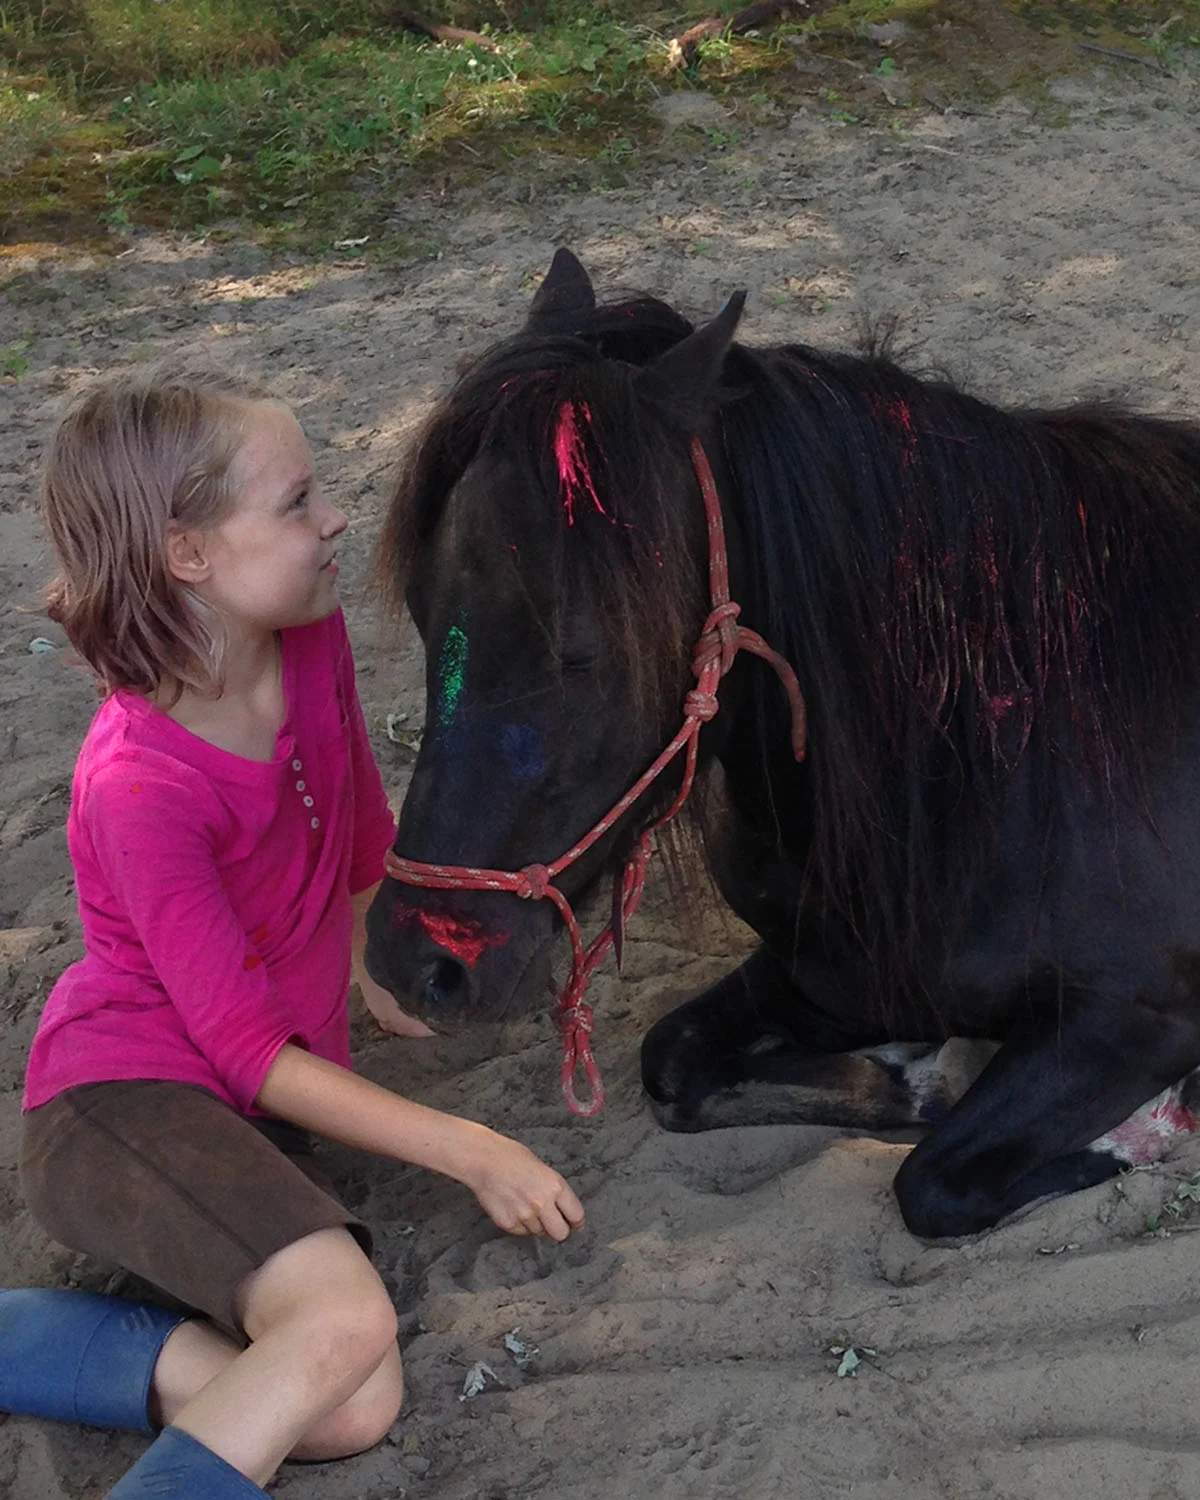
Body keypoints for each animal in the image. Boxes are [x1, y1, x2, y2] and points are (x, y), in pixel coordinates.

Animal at [364, 247, 1200, 1239]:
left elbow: (935, 1182)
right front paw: (913, 1076)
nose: (415, 964)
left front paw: (1141, 1134)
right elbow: (673, 1064)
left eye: (582, 647)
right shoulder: (822, 974)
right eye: (420, 609)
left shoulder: (1137, 1020)